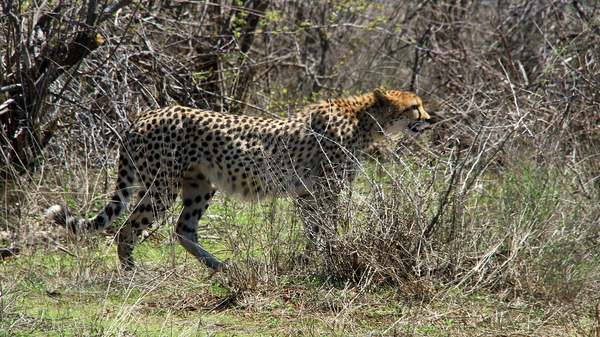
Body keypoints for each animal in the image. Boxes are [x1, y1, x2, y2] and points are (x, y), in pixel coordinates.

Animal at [48, 88, 432, 270]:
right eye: (415, 106)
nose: (429, 120)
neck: (367, 119)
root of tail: (144, 114)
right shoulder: (326, 188)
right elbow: (328, 227)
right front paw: (333, 256)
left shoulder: (308, 193)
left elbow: (314, 230)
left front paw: (312, 260)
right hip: (161, 187)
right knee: (127, 230)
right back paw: (133, 277)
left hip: (200, 185)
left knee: (183, 229)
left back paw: (220, 267)